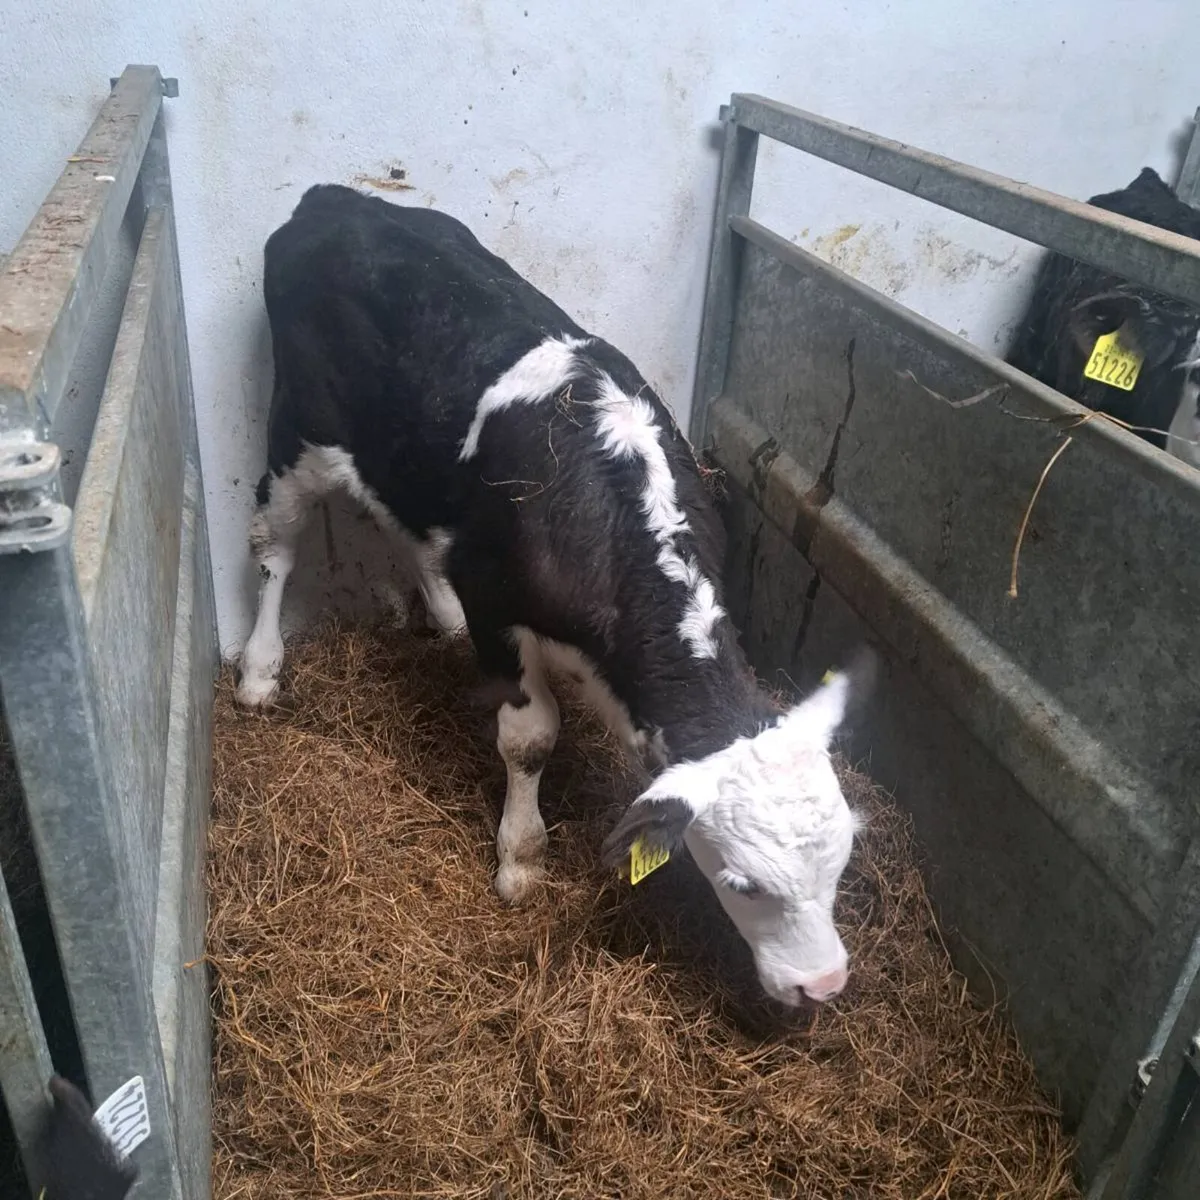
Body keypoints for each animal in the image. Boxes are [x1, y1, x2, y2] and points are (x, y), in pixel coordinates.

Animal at [236, 184, 874, 1007]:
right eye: (744, 884)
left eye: (842, 864)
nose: (823, 984)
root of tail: (331, 198)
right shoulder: (498, 610)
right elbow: (531, 738)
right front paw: (521, 859)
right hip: (296, 430)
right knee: (275, 548)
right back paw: (259, 671)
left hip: (409, 460)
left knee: (404, 527)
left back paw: (437, 616)